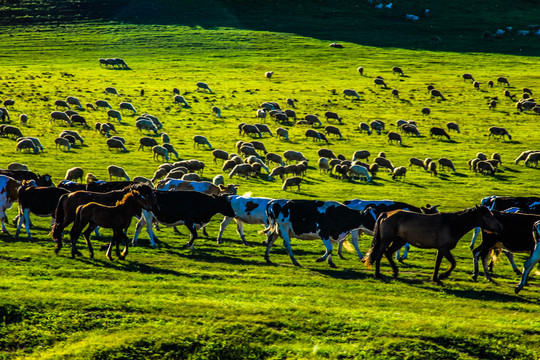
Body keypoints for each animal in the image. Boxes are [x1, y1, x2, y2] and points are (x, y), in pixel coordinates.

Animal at [364, 205, 504, 284]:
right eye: (487, 215)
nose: (500, 227)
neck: (452, 224)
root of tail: (386, 214)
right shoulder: (444, 248)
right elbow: (453, 263)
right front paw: (443, 275)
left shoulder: (440, 249)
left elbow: (437, 263)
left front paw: (436, 278)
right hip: (386, 240)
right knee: (380, 254)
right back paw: (378, 274)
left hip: (399, 240)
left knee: (387, 253)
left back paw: (395, 272)